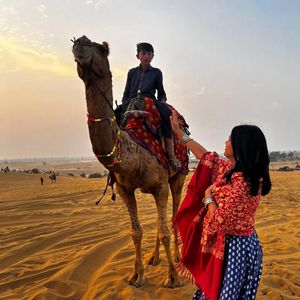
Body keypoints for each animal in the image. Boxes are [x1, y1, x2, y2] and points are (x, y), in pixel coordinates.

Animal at [72, 35, 186, 288]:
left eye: (101, 49)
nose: (80, 42)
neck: (133, 152)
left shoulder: (161, 185)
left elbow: (165, 230)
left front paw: (172, 278)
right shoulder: (125, 188)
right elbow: (136, 232)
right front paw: (136, 275)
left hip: (179, 177)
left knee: (173, 217)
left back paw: (177, 258)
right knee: (159, 222)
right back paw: (154, 258)